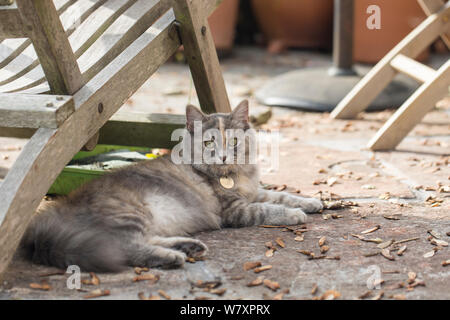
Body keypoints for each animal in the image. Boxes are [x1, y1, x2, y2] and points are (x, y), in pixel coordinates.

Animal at [21, 101, 322, 272]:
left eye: (234, 141)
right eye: (209, 143)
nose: (224, 156)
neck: (233, 174)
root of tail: (53, 216)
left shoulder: (253, 191)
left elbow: (281, 195)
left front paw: (312, 202)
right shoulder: (235, 209)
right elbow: (267, 209)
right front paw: (295, 215)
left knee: (144, 241)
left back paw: (189, 247)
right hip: (128, 213)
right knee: (127, 248)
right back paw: (174, 257)